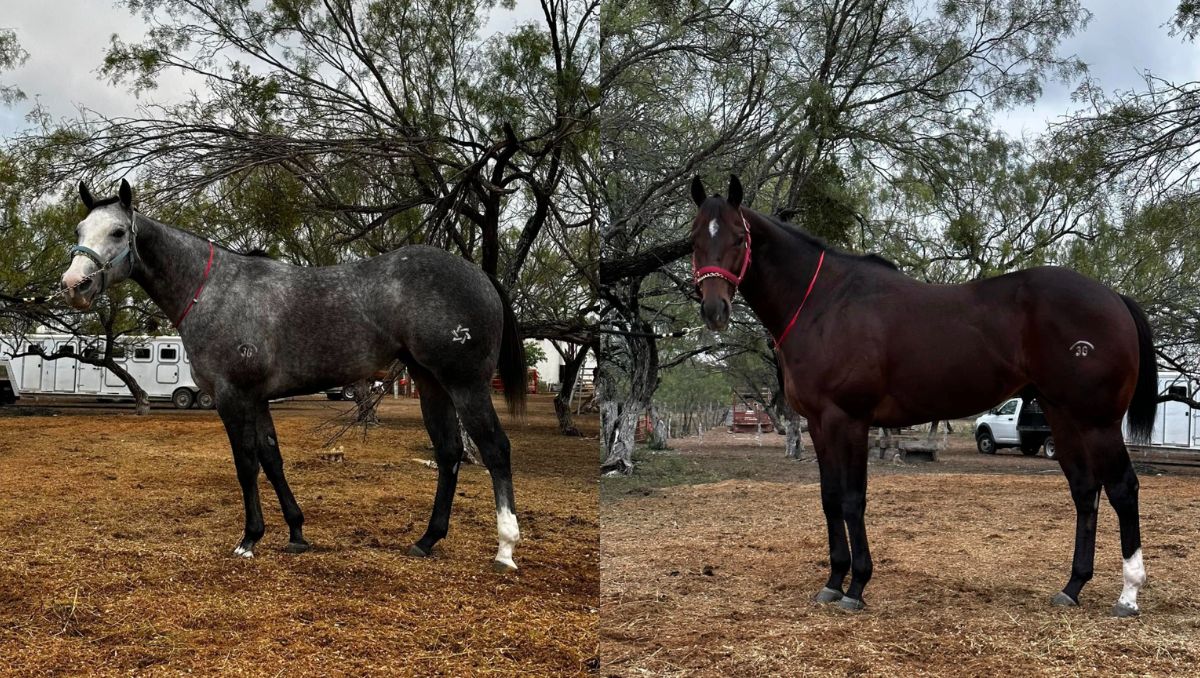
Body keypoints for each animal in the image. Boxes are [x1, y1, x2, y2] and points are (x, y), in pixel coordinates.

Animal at [60, 179, 527, 573]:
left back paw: (505, 549)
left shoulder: (233, 397)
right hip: (431, 383)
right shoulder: (258, 398)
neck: (212, 289)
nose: (74, 285)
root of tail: (478, 273)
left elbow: (246, 464)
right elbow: (272, 460)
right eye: (81, 228)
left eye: (118, 232)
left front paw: (249, 539)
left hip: (466, 384)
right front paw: (296, 532)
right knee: (449, 452)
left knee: (496, 450)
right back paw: (427, 540)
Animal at [689, 174, 1156, 616]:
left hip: (1097, 421)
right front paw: (833, 580)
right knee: (1085, 489)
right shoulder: (819, 424)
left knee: (1122, 488)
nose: (714, 310)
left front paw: (856, 587)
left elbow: (853, 499)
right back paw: (1072, 587)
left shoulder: (849, 420)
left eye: (739, 237)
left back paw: (1129, 595)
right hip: (1062, 413)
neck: (823, 304)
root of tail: (1112, 297)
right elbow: (830, 498)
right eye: (694, 238)